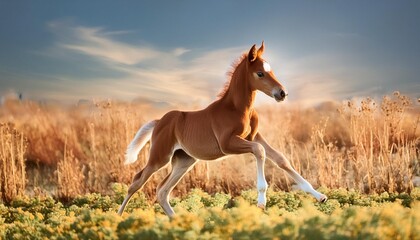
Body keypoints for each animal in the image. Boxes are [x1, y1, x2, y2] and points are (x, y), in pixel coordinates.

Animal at [118, 42, 328, 217]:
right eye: (260, 73)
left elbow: (281, 159)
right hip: (160, 157)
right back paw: (118, 218)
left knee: (162, 190)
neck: (236, 108)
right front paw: (261, 201)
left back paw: (178, 221)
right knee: (136, 182)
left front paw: (320, 196)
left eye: (272, 71)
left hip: (184, 160)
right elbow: (260, 152)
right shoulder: (228, 144)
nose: (282, 93)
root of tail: (159, 121)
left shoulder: (254, 136)